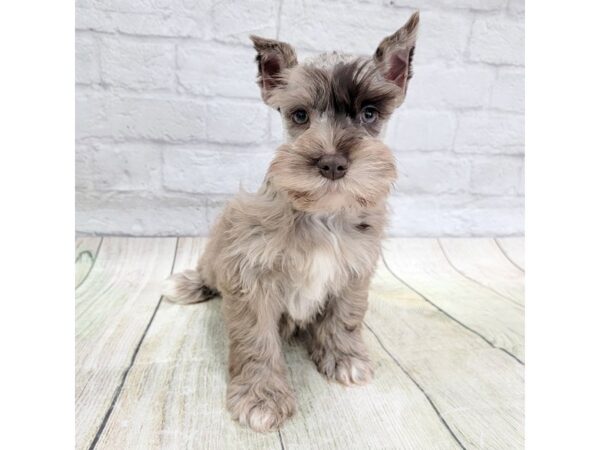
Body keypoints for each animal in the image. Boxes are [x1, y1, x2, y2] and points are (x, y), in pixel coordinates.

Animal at [162, 10, 420, 432]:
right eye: (300, 115)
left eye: (369, 114)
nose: (332, 163)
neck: (322, 214)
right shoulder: (250, 275)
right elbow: (257, 340)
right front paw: (262, 395)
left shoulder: (355, 270)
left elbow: (346, 317)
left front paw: (345, 357)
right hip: (219, 247)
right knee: (207, 270)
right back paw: (188, 284)